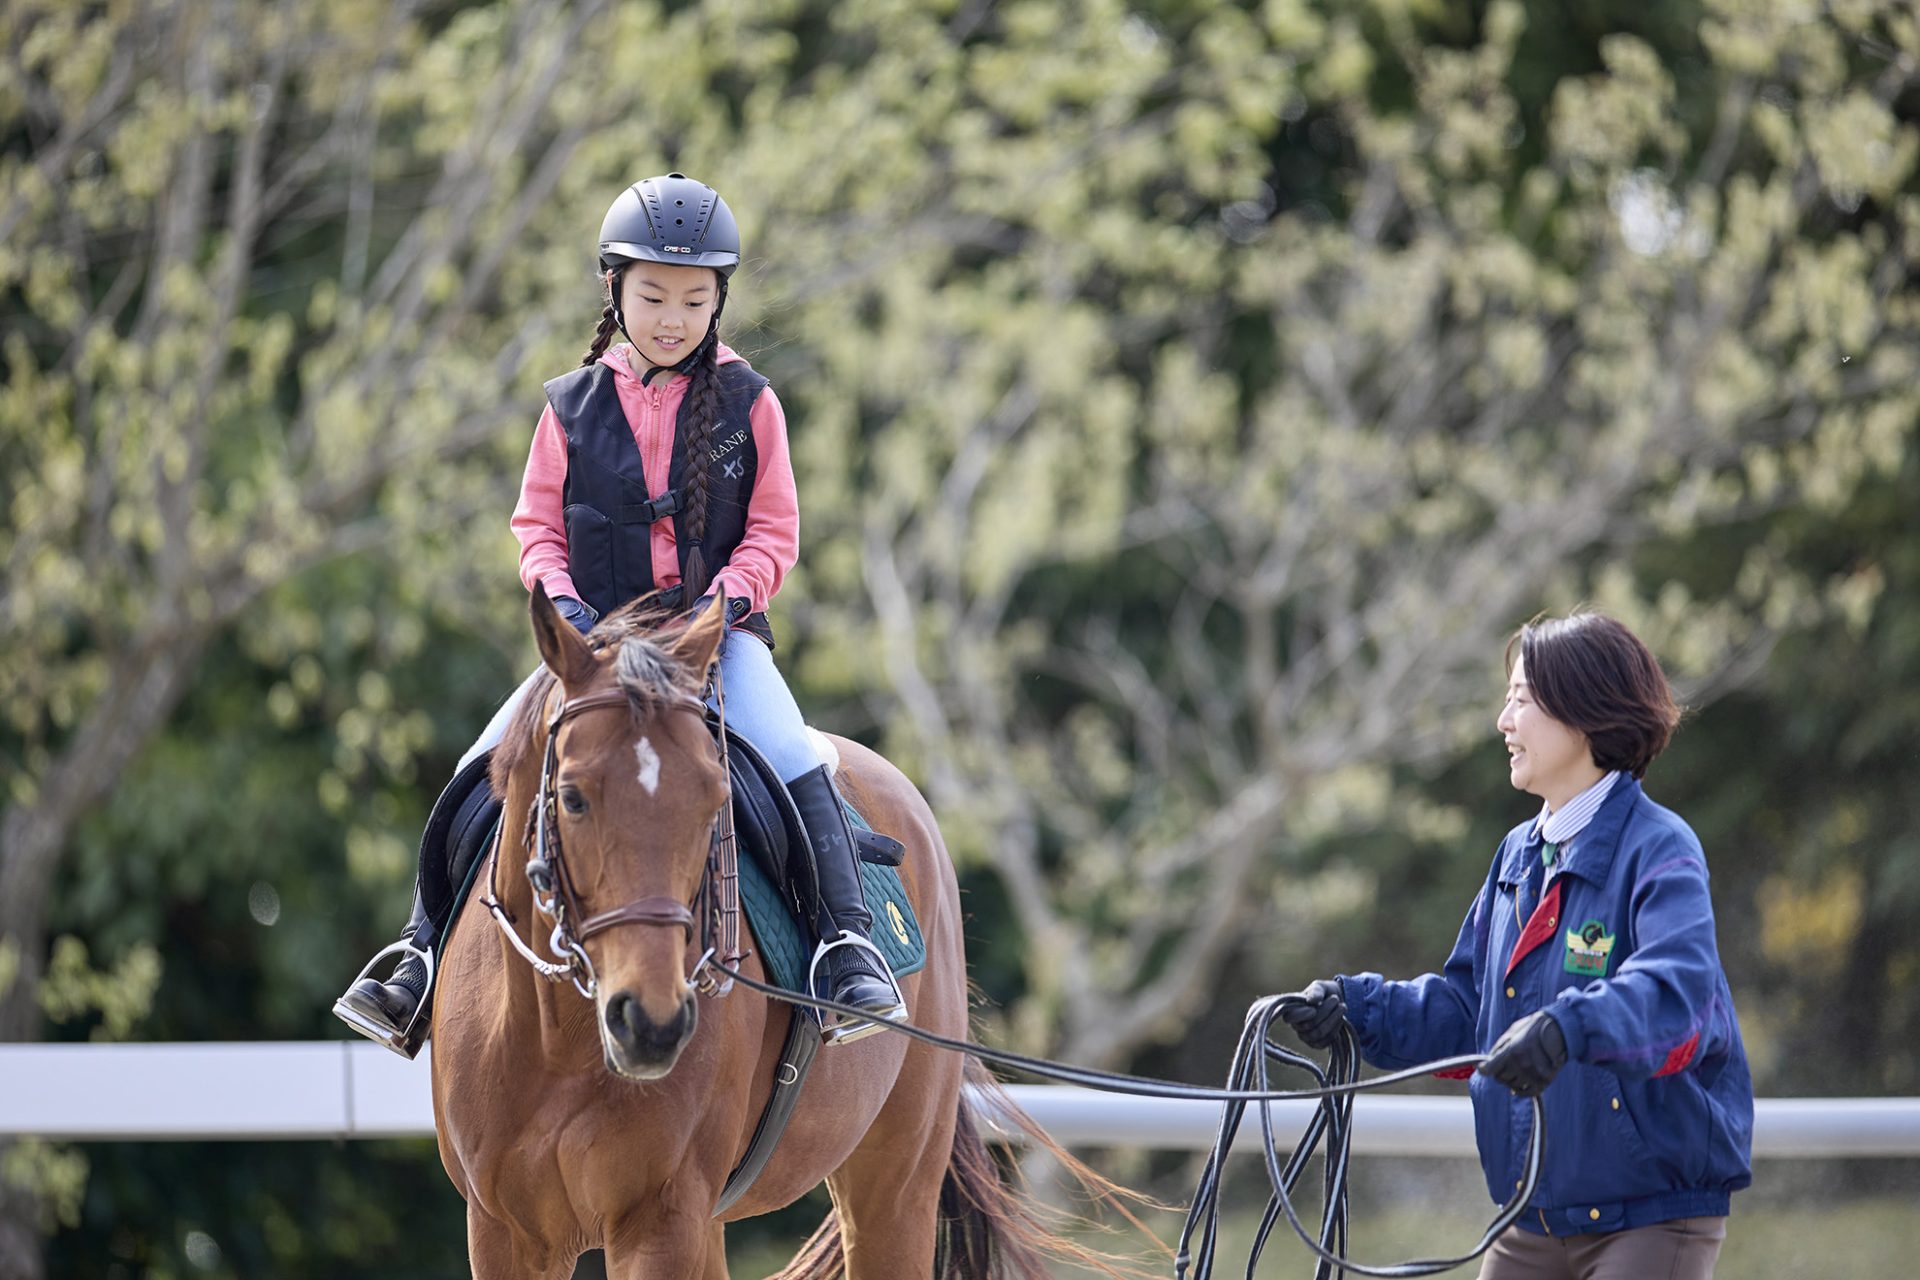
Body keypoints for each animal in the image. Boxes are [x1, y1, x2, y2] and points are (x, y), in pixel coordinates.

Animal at [432, 594, 1121, 1280]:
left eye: (712, 800)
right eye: (573, 798)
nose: (651, 1023)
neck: (561, 1041)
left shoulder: (661, 1225)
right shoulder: (503, 1233)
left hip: (894, 1191)